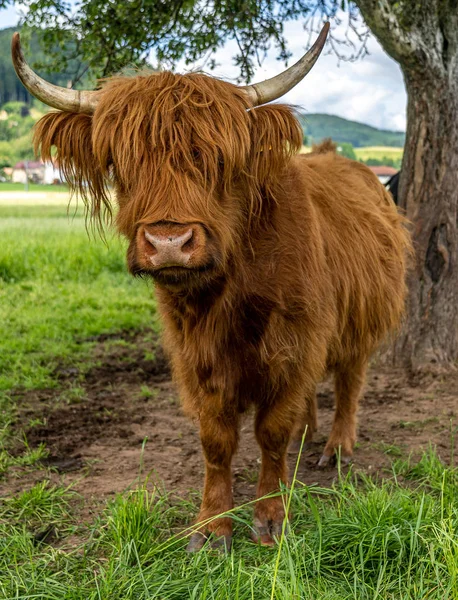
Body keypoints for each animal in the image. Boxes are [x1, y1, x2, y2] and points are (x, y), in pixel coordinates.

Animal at [11, 27, 412, 552]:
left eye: (219, 160)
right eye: (120, 162)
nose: (169, 243)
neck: (227, 293)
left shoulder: (295, 340)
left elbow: (270, 432)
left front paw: (270, 517)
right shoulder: (195, 357)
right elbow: (216, 440)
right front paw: (212, 526)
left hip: (362, 315)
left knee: (349, 380)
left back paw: (336, 447)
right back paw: (307, 437)